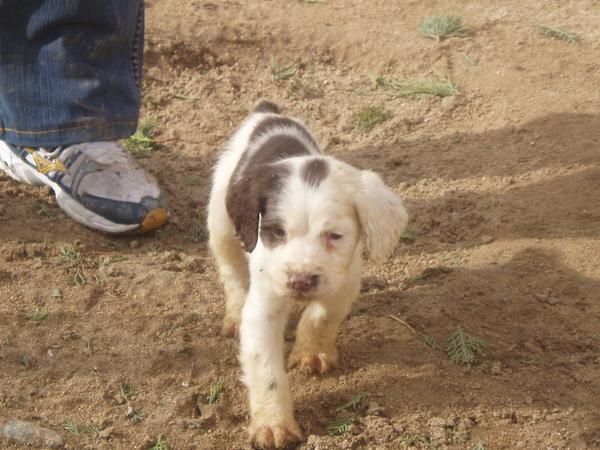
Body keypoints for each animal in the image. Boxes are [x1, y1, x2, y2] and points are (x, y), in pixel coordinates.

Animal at [206, 99, 408, 450]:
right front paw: (273, 426)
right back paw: (232, 313)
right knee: (231, 271)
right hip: (221, 222)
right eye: (276, 232)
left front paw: (312, 353)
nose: (300, 281)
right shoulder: (264, 304)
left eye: (335, 236)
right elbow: (265, 367)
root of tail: (267, 112)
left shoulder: (345, 280)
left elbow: (321, 315)